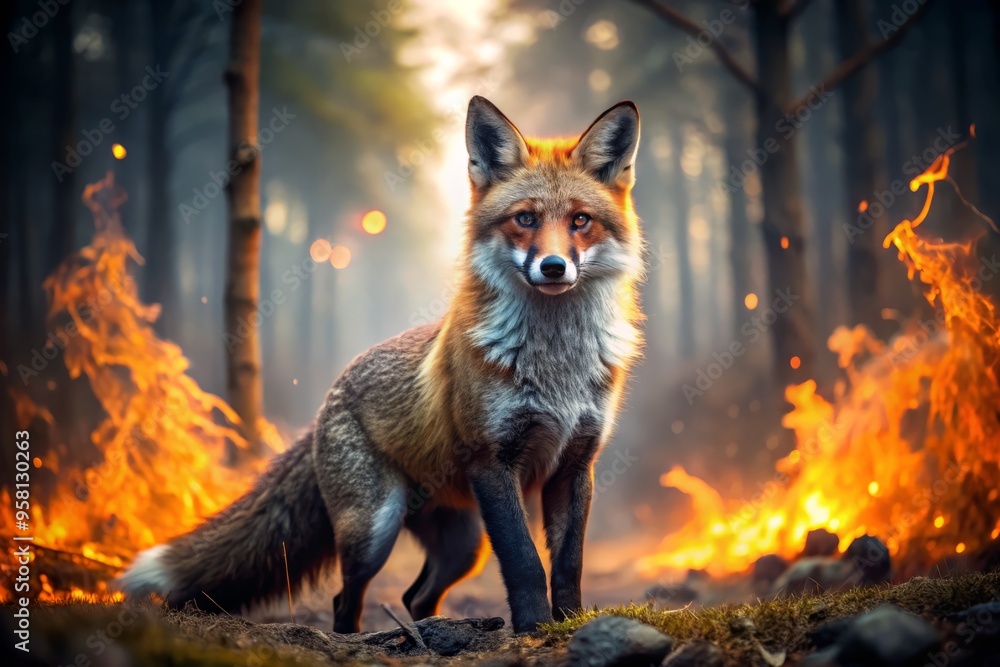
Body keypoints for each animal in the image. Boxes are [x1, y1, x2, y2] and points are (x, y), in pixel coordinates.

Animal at [118, 96, 644, 634]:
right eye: (525, 219)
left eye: (580, 221)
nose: (554, 267)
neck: (557, 365)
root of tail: (327, 401)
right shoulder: (492, 460)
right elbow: (524, 562)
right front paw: (536, 629)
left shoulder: (575, 464)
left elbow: (568, 564)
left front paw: (571, 624)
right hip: (375, 529)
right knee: (344, 600)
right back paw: (361, 637)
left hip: (464, 544)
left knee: (416, 596)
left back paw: (432, 631)